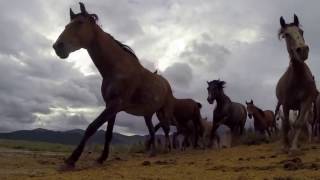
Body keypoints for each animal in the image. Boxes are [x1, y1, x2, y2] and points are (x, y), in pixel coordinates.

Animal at [52, 2, 175, 169]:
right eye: (66, 25)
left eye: (80, 23)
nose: (57, 46)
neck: (117, 68)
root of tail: (166, 83)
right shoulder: (111, 106)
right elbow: (108, 134)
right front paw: (101, 158)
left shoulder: (115, 105)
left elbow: (91, 127)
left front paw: (72, 159)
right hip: (148, 114)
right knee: (152, 130)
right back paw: (153, 153)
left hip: (163, 111)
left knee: (166, 129)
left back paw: (168, 150)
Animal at [276, 14, 318, 155]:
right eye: (286, 35)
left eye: (301, 31)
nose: (303, 50)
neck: (298, 79)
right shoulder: (285, 104)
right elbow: (286, 125)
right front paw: (285, 146)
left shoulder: (306, 102)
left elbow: (298, 124)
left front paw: (294, 148)